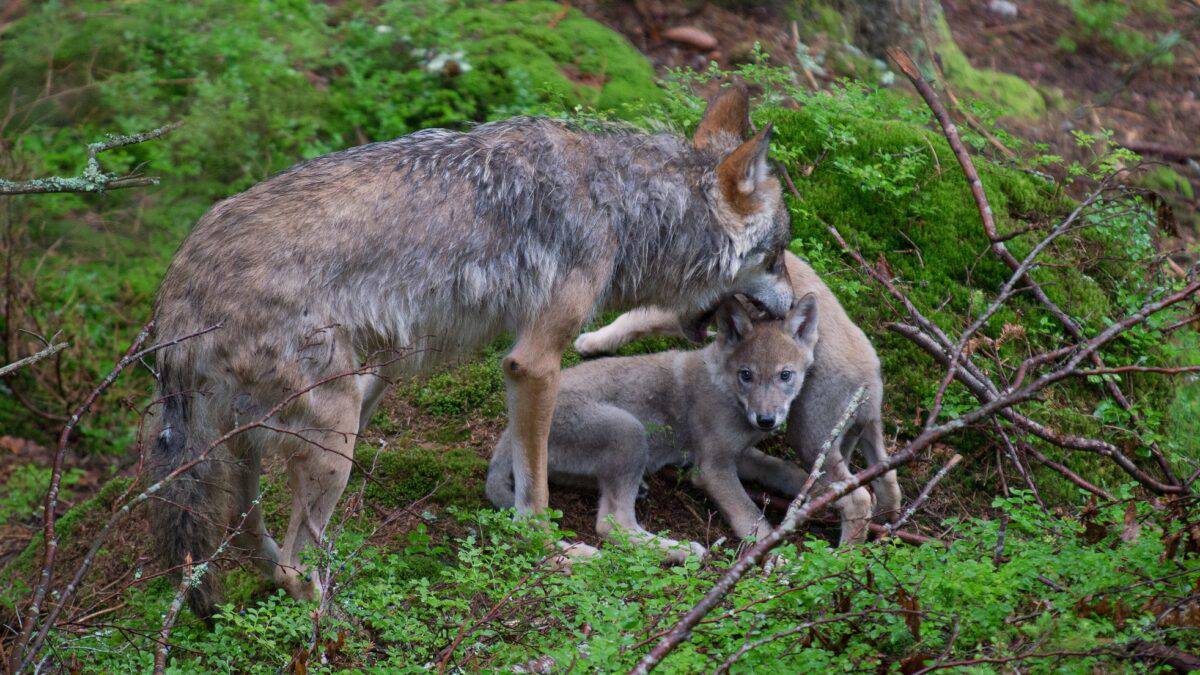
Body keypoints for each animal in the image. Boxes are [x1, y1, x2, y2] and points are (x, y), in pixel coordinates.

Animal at [487, 294, 819, 560]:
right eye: (746, 375)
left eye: (785, 375)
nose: (766, 420)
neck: (724, 387)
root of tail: (507, 434)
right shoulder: (712, 468)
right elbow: (752, 518)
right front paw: (777, 556)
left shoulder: (739, 454)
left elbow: (780, 468)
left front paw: (812, 485)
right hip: (629, 431)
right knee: (612, 525)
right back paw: (681, 550)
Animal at [573, 251, 901, 544]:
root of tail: (869, 381)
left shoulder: (684, 311)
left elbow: (633, 319)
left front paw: (592, 341)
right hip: (865, 435)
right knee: (887, 484)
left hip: (810, 439)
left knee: (859, 498)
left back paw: (843, 555)